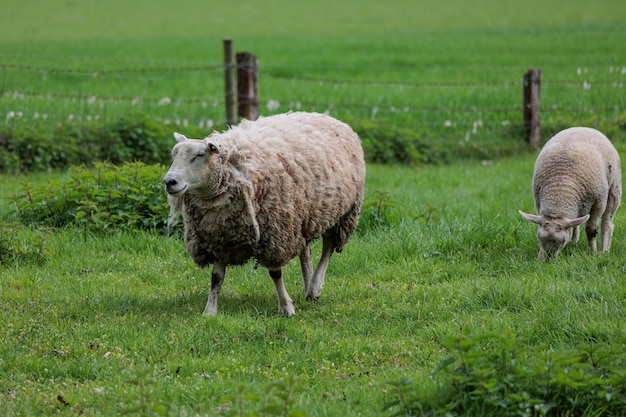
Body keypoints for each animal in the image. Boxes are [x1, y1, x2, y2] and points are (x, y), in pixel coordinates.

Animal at [163, 110, 364, 316]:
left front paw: (286, 307)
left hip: (342, 213)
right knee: (306, 252)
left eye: (200, 155)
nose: (169, 181)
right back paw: (308, 288)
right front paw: (210, 311)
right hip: (302, 216)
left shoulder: (274, 234)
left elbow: (275, 272)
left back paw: (315, 286)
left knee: (327, 248)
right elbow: (216, 277)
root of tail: (327, 117)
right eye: (174, 155)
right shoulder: (219, 238)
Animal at [516, 125, 620, 260]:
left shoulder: (598, 204)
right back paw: (575, 243)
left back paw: (604, 250)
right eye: (538, 238)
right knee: (575, 225)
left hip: (614, 189)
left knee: (607, 222)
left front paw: (592, 252)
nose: (547, 260)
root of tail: (582, 127)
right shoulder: (538, 203)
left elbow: (591, 230)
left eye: (562, 241)